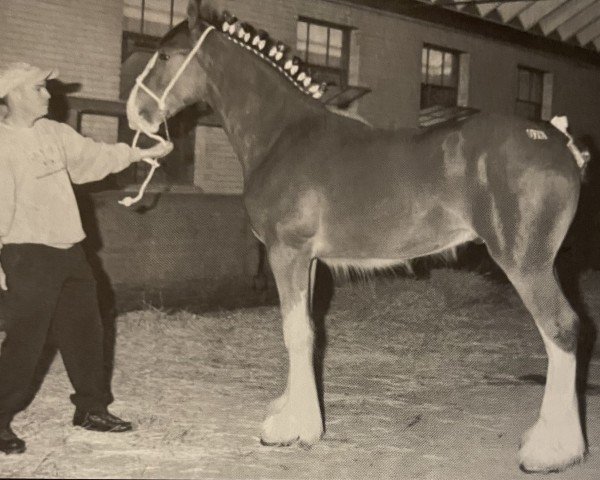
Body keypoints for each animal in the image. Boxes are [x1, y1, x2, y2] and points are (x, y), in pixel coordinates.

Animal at [125, 0, 584, 472]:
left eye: (164, 55)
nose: (134, 112)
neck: (282, 135)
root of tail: (558, 141)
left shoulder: (286, 252)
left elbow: (294, 333)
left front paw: (289, 430)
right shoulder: (306, 260)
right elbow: (307, 330)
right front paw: (295, 414)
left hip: (525, 263)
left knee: (561, 329)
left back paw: (550, 451)